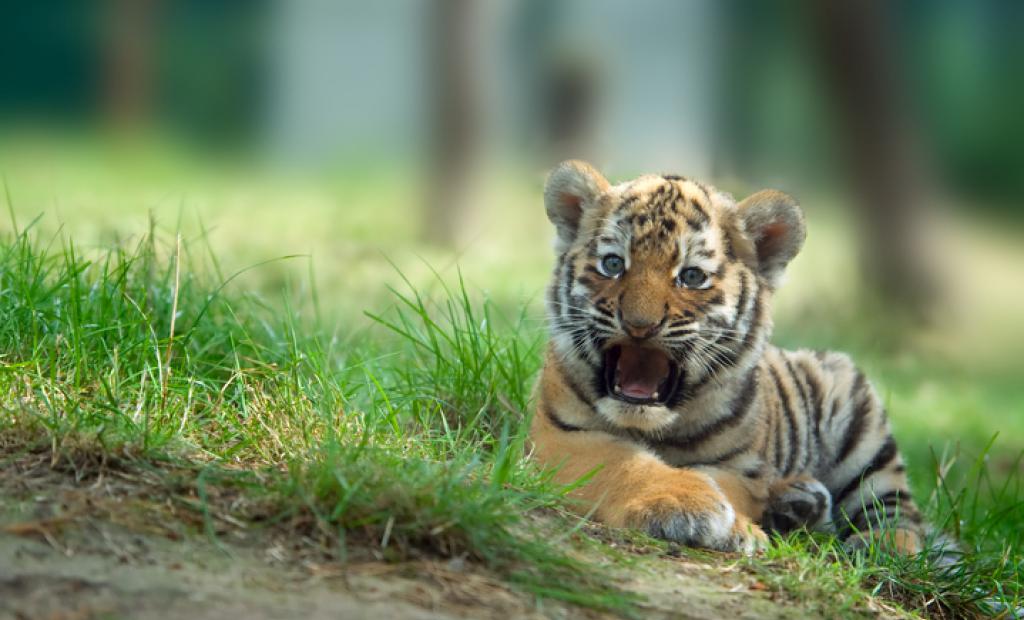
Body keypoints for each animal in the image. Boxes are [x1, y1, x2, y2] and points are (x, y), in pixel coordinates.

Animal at [529, 160, 931, 554]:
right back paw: (799, 502)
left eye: (691, 276)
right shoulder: (557, 435)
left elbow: (719, 479)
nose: (639, 326)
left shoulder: (745, 470)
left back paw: (881, 545)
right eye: (613, 265)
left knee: (898, 511)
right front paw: (690, 506)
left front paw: (734, 524)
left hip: (860, 424)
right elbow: (623, 463)